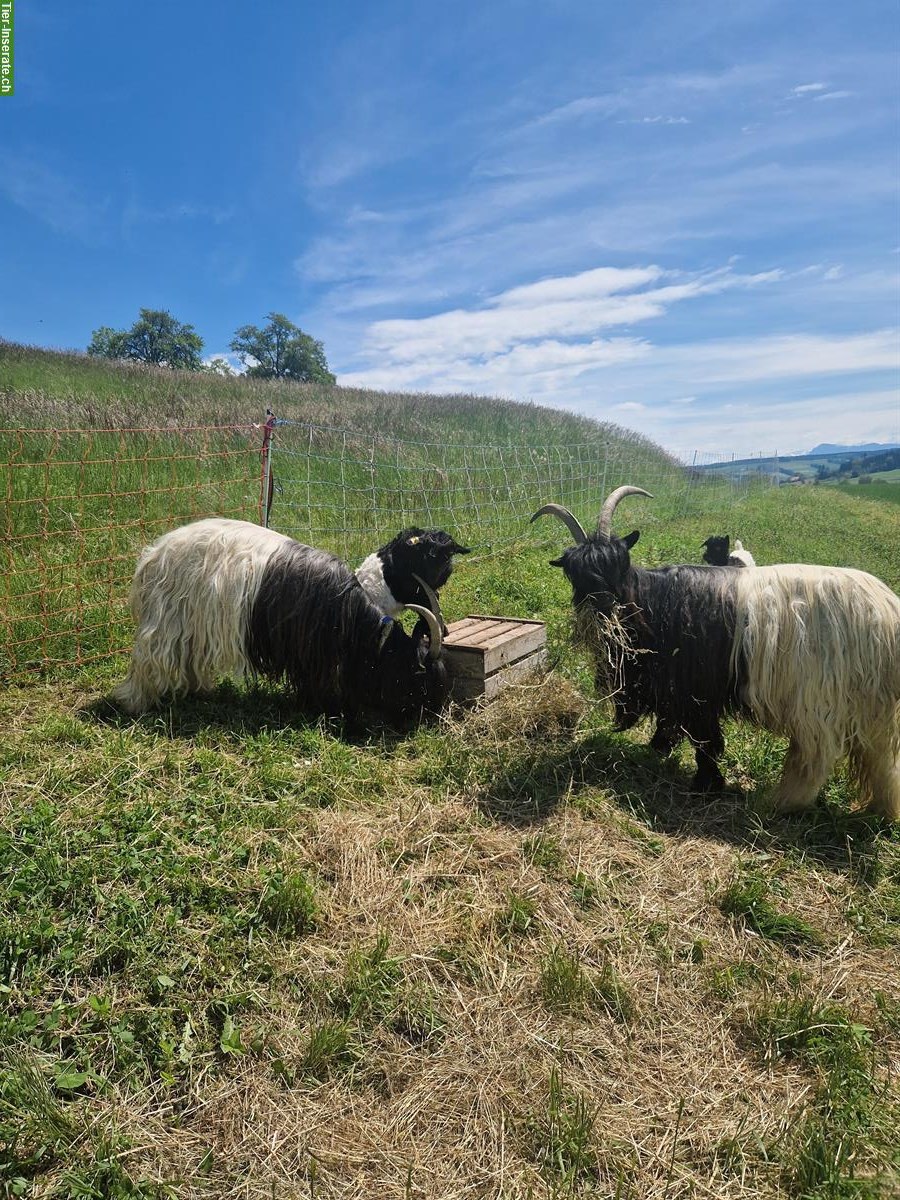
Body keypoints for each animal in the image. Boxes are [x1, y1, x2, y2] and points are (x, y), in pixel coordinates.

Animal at [111, 516, 451, 720]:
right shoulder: (310, 650)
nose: (432, 716)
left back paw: (199, 690)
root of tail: (154, 554)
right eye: (419, 680)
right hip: (167, 619)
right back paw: (135, 702)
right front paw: (322, 707)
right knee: (151, 658)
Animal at [532, 487, 900, 816]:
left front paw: (706, 783)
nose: (604, 605)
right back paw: (880, 809)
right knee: (881, 758)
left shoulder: (696, 689)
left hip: (819, 698)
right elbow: (674, 725)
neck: (655, 602)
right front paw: (662, 749)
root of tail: (887, 611)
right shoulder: (677, 689)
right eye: (575, 572)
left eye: (620, 563)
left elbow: (704, 739)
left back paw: (782, 803)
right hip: (870, 703)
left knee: (817, 754)